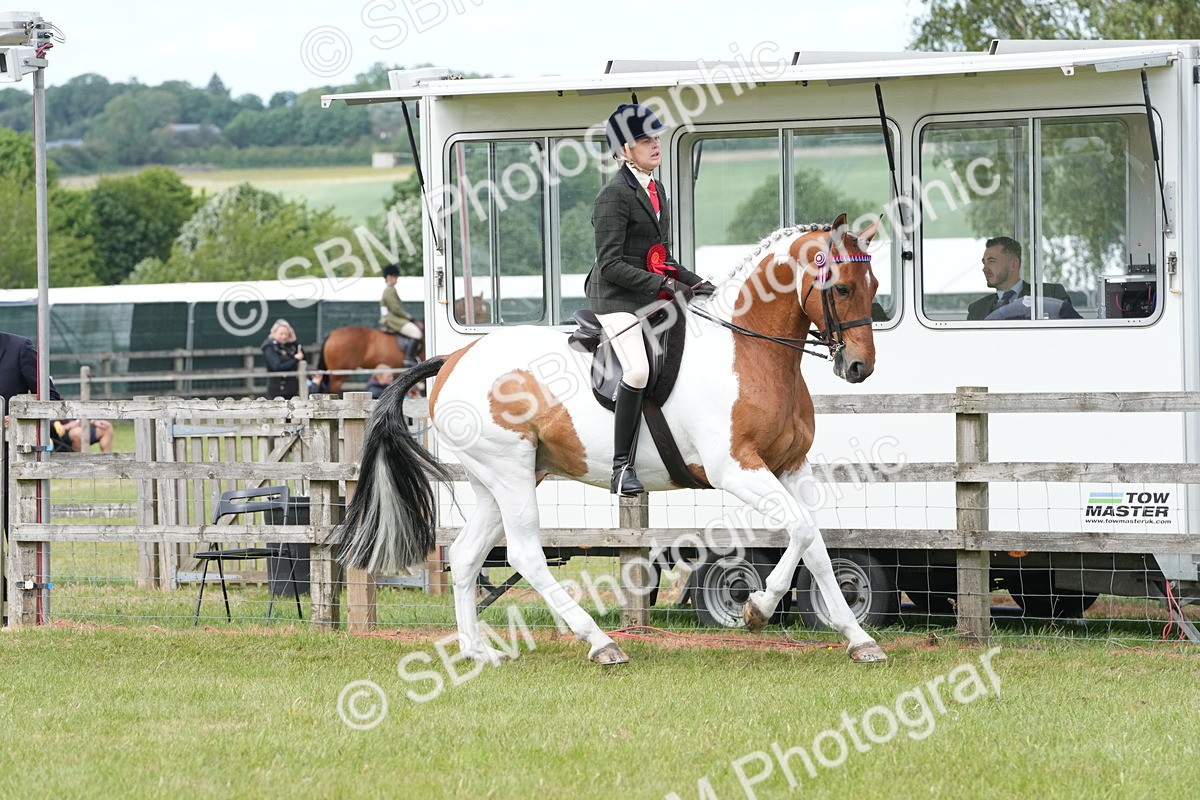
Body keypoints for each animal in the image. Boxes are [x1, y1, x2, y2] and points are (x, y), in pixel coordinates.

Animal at [331, 214, 884, 665]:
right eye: (840, 288)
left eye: (873, 284)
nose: (859, 367)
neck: (748, 348)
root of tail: (453, 359)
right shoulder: (735, 468)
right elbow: (802, 530)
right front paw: (758, 608)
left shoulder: (790, 465)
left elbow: (813, 539)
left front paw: (858, 639)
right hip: (509, 472)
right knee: (526, 554)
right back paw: (600, 643)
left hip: (498, 479)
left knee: (467, 555)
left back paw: (477, 651)